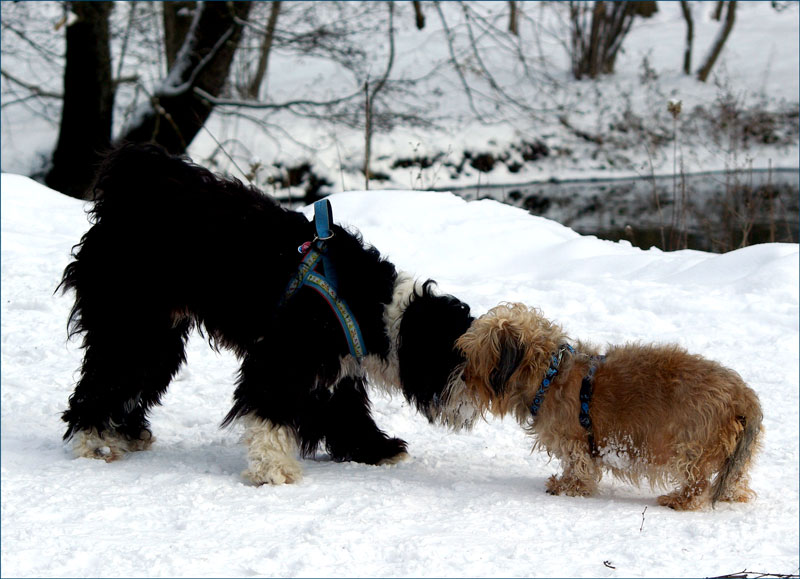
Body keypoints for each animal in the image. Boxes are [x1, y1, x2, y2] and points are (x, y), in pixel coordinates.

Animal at [61, 145, 476, 484]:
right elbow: (270, 412)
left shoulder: (335, 368)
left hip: (158, 334)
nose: (474, 396)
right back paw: (95, 443)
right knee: (103, 381)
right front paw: (274, 470)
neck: (374, 307)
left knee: (130, 381)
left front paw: (375, 449)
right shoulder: (285, 355)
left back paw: (128, 433)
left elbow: (346, 411)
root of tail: (127, 194)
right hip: (131, 321)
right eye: (456, 357)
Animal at [456, 302, 764, 510]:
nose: (462, 376)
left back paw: (678, 500)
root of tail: (742, 395)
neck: (550, 375)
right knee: (734, 479)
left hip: (690, 446)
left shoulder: (575, 441)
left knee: (697, 483)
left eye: (473, 355)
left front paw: (568, 487)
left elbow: (577, 466)